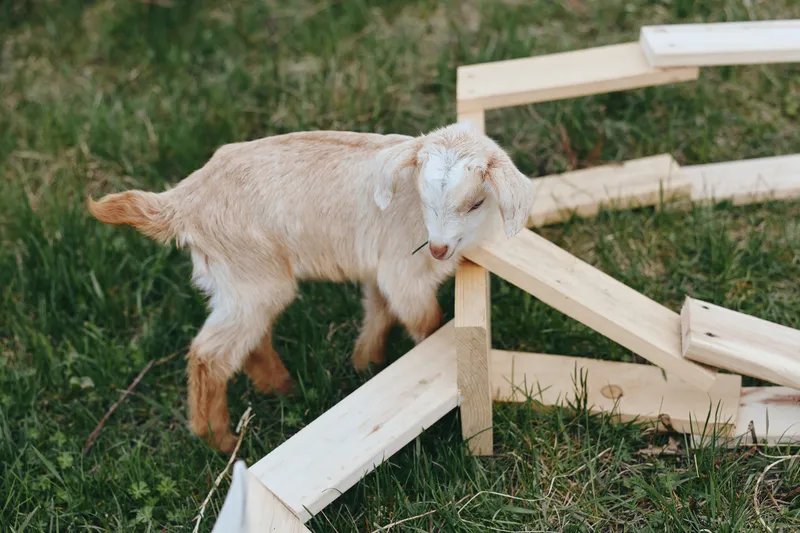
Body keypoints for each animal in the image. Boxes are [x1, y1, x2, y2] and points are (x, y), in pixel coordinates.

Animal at [88, 122, 535, 452]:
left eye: (474, 203)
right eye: (426, 200)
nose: (439, 248)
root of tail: (181, 201)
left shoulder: (378, 268)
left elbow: (378, 310)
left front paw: (365, 361)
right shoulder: (403, 271)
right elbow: (426, 321)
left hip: (236, 281)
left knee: (249, 341)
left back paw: (281, 388)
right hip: (254, 276)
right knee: (208, 355)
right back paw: (220, 439)